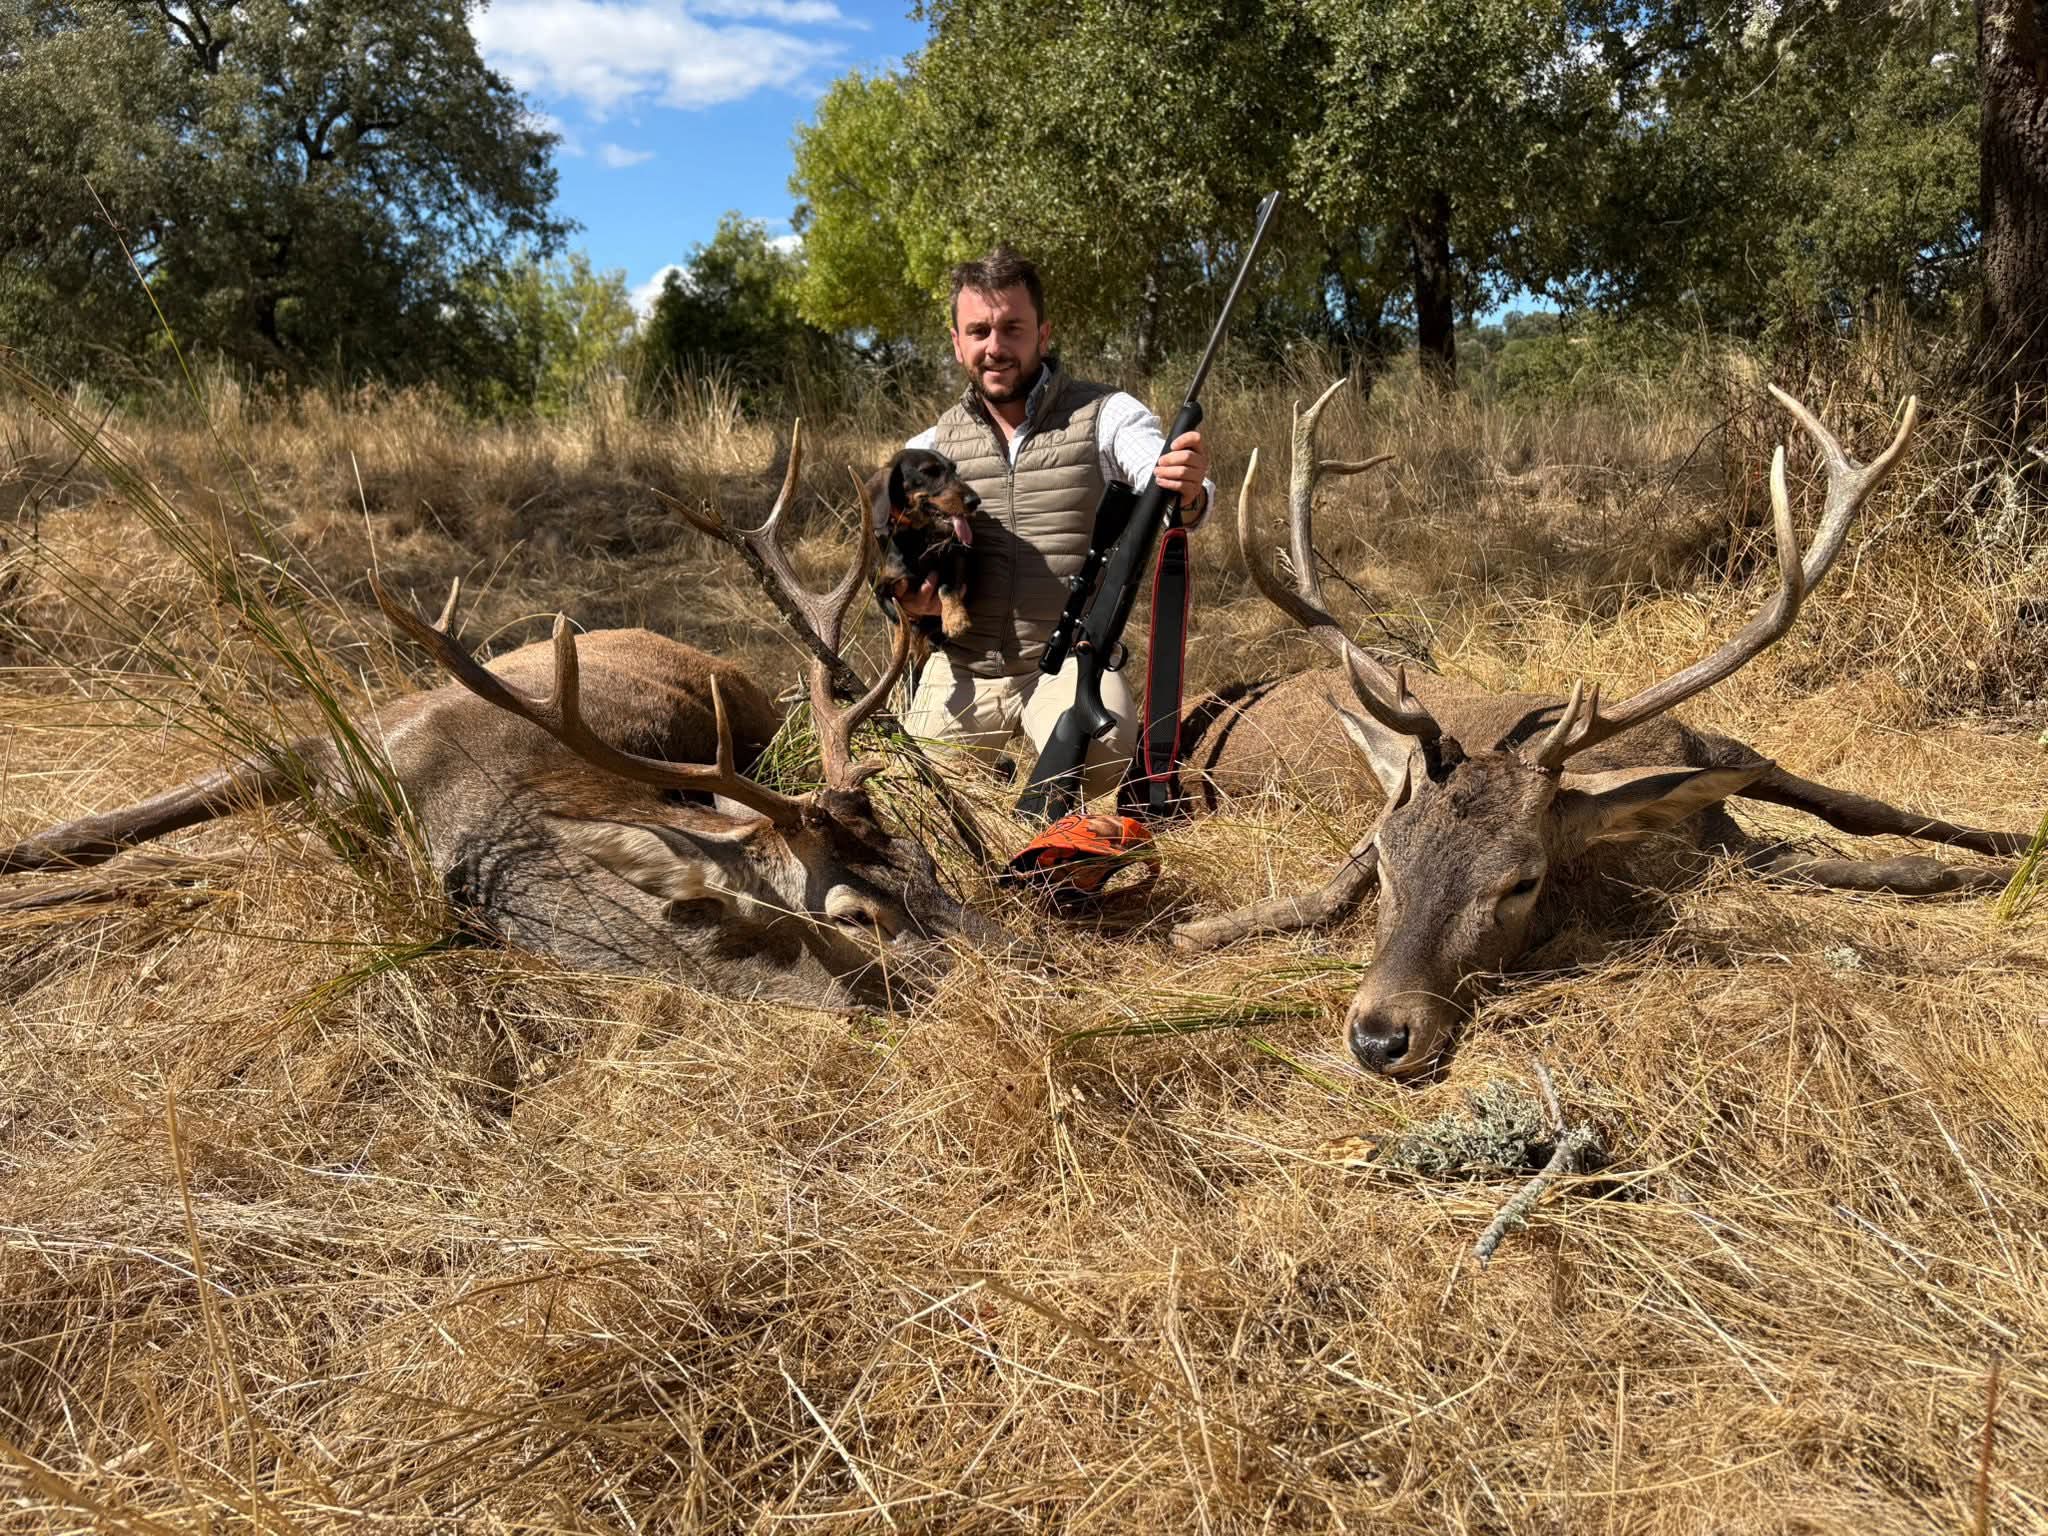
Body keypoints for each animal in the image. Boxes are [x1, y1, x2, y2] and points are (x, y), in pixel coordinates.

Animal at [0, 431, 979, 1010]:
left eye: (931, 863)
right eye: (859, 919)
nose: (1004, 959)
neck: (474, 812)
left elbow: (179, 876)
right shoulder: (343, 739)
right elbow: (114, 831)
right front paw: (25, 861)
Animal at [1169, 381, 2037, 1079]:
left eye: (1522, 882)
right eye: (1388, 862)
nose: (1381, 1036)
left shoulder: (1717, 757)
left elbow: (1873, 817)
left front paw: (2019, 853)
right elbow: (1890, 863)